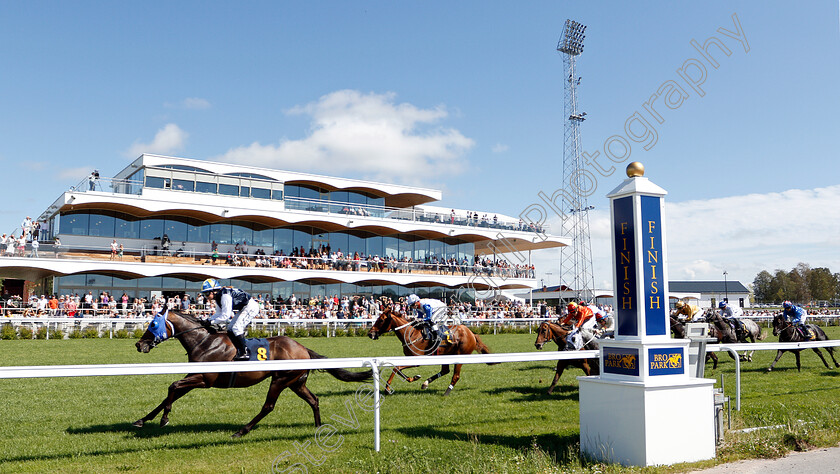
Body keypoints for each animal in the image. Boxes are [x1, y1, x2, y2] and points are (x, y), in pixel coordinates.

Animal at [134, 308, 370, 436]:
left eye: (153, 324)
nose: (139, 344)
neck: (204, 341)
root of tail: (302, 348)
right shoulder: (193, 376)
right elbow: (169, 394)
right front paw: (143, 420)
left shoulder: (204, 379)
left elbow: (172, 387)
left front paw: (164, 419)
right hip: (296, 382)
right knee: (314, 399)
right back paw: (319, 427)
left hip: (280, 380)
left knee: (268, 406)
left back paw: (241, 431)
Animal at [366, 306, 496, 394]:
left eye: (381, 320)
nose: (370, 333)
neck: (411, 334)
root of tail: (471, 333)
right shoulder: (409, 358)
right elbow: (397, 369)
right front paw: (414, 378)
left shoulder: (416, 360)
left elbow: (396, 368)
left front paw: (387, 388)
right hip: (446, 355)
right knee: (445, 371)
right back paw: (425, 383)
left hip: (460, 356)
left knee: (455, 376)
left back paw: (446, 392)